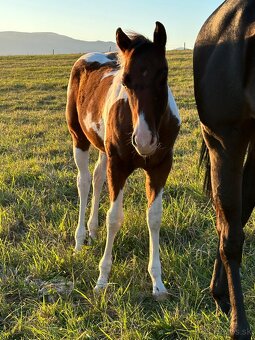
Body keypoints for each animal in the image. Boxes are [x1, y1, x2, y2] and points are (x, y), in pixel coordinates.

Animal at [66, 21, 181, 298]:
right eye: (126, 80)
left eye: (163, 75)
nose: (145, 141)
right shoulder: (118, 166)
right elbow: (115, 217)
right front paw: (102, 279)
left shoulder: (161, 166)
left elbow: (154, 217)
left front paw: (158, 282)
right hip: (79, 138)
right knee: (83, 181)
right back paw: (79, 241)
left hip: (103, 148)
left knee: (97, 177)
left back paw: (92, 231)